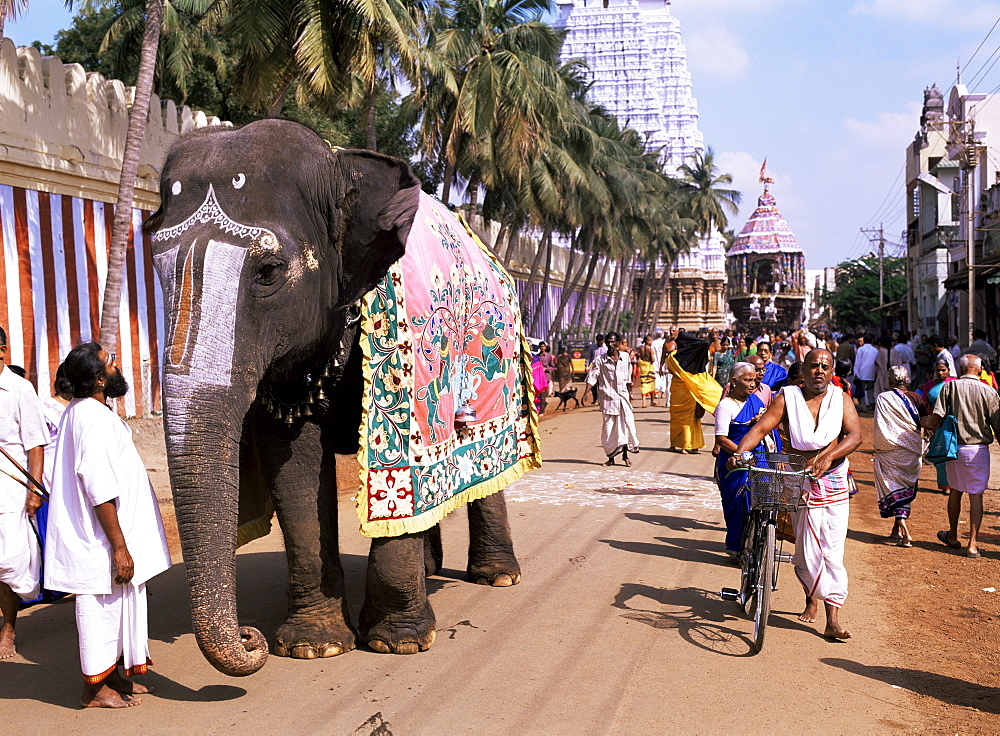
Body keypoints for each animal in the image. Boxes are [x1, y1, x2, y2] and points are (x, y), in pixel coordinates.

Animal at [145, 121, 528, 680]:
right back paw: (431, 567)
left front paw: (399, 642)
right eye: (155, 269)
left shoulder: (406, 352)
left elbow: (400, 466)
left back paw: (497, 577)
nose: (250, 637)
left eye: (268, 271)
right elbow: (296, 466)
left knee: (481, 456)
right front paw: (314, 647)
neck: (340, 166)